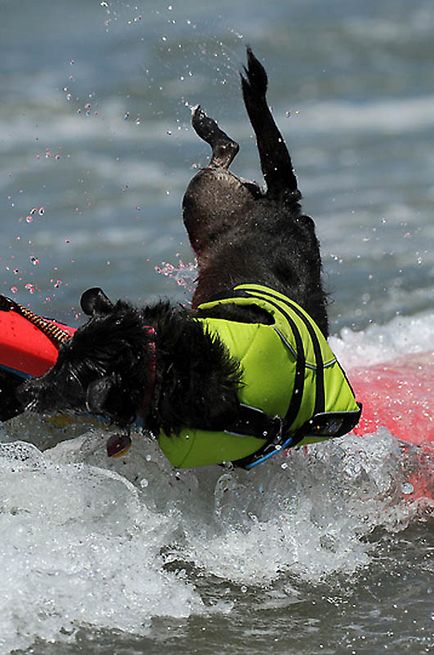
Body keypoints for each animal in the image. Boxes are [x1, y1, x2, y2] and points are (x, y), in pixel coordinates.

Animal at [17, 48, 358, 466]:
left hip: (200, 202)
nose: (25, 393)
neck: (160, 360)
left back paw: (208, 129)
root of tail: (280, 203)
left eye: (68, 378)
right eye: (60, 357)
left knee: (224, 154)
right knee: (228, 154)